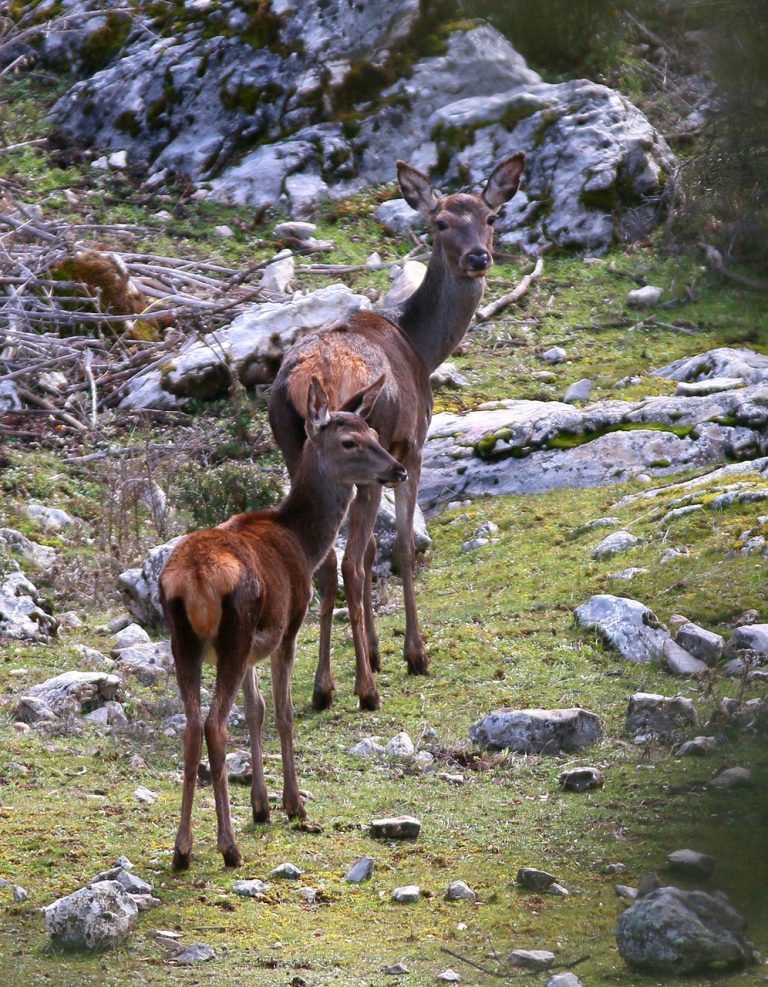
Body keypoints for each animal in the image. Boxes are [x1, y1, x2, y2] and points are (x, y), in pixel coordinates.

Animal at [159, 374, 404, 868]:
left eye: (374, 432)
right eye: (349, 442)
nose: (398, 469)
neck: (302, 540)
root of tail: (194, 581)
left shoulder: (255, 649)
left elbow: (256, 710)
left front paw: (261, 805)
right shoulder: (288, 628)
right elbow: (284, 713)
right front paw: (293, 804)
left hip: (185, 643)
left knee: (193, 727)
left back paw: (182, 849)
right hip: (232, 636)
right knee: (214, 725)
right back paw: (228, 847)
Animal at [268, 152, 524, 712]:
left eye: (491, 217)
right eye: (440, 222)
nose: (478, 257)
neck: (422, 345)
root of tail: (301, 381)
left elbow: (369, 552)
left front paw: (376, 651)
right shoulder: (411, 450)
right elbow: (402, 547)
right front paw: (412, 653)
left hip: (296, 451)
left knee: (328, 563)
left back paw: (326, 686)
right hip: (364, 461)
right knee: (349, 564)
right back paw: (365, 689)